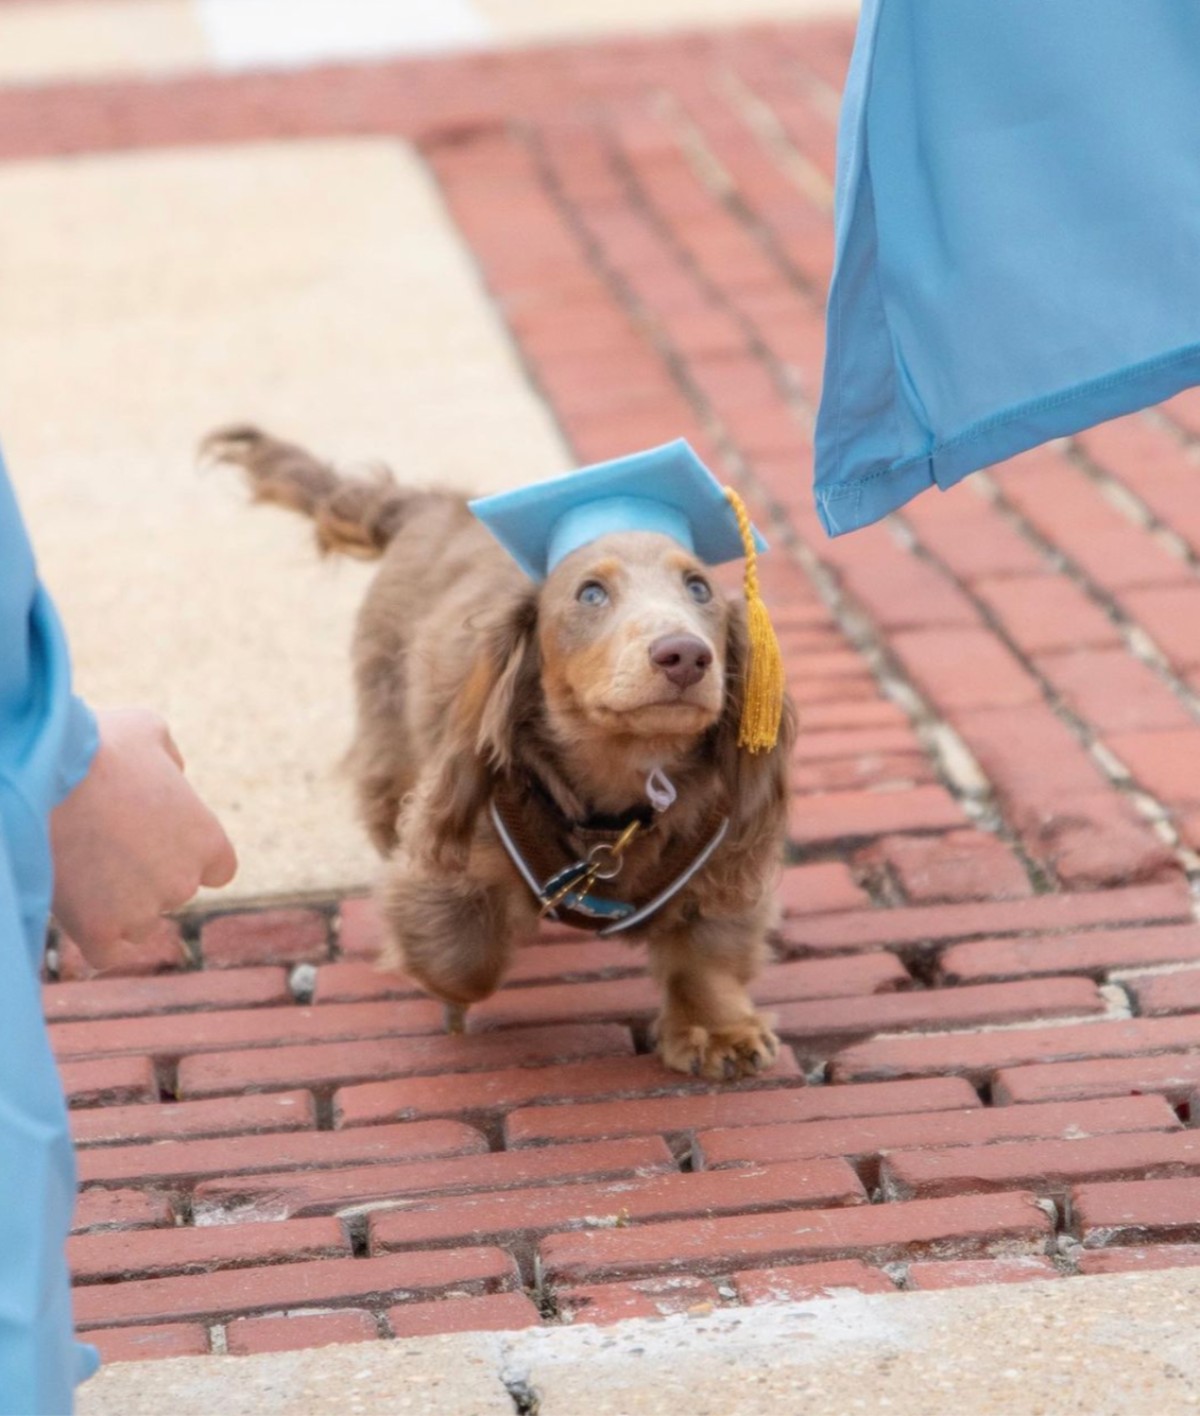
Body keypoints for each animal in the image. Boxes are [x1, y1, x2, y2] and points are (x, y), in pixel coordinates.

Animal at [206, 424, 799, 1076]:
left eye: (699, 589)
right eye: (590, 594)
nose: (685, 655)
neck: (619, 786)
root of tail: (432, 507)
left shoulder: (717, 852)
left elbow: (707, 955)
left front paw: (716, 1030)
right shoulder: (463, 845)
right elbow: (462, 958)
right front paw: (450, 983)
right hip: (390, 736)